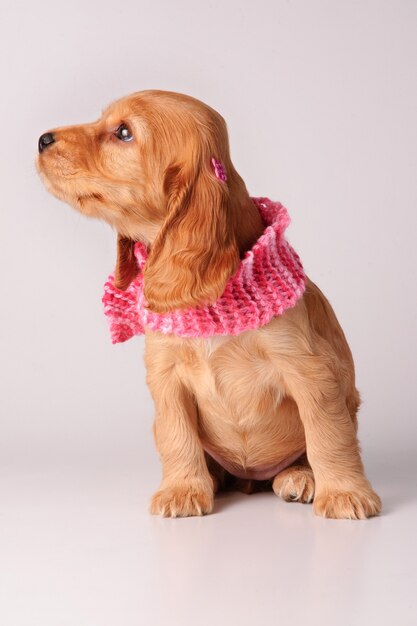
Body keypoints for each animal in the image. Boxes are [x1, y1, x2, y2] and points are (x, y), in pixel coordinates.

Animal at [36, 88, 380, 516]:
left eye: (124, 132)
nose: (42, 139)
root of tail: (251, 479)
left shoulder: (311, 370)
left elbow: (329, 434)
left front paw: (345, 493)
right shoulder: (165, 374)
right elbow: (176, 434)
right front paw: (183, 489)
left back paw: (300, 476)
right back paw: (215, 478)